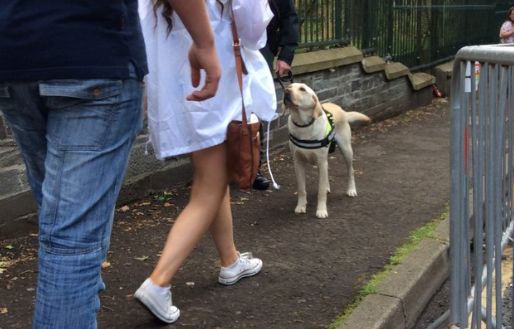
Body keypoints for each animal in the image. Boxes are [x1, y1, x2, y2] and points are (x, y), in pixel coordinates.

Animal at [282, 82, 370, 218]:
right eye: (289, 86)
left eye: (302, 89)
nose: (286, 90)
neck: (303, 125)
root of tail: (341, 110)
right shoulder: (298, 162)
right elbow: (301, 189)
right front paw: (301, 206)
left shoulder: (321, 161)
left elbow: (321, 190)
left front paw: (321, 210)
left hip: (346, 150)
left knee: (350, 170)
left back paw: (351, 189)